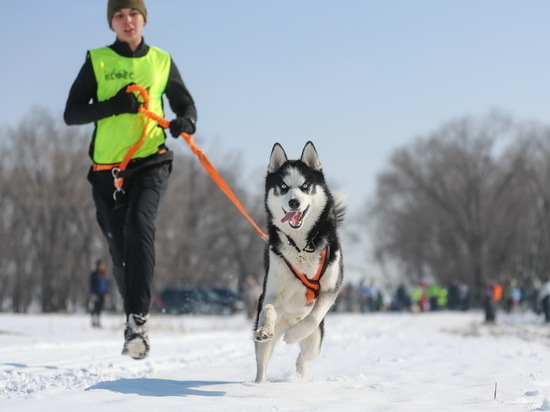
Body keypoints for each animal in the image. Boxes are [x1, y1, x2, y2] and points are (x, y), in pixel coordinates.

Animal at [256, 142, 344, 384]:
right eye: (283, 186)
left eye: (305, 186)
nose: (294, 202)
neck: (301, 247)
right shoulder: (272, 291)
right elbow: (268, 307)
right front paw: (265, 328)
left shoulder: (331, 287)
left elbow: (314, 316)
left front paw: (295, 333)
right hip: (266, 343)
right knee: (262, 362)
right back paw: (258, 384)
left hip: (315, 341)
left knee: (304, 357)